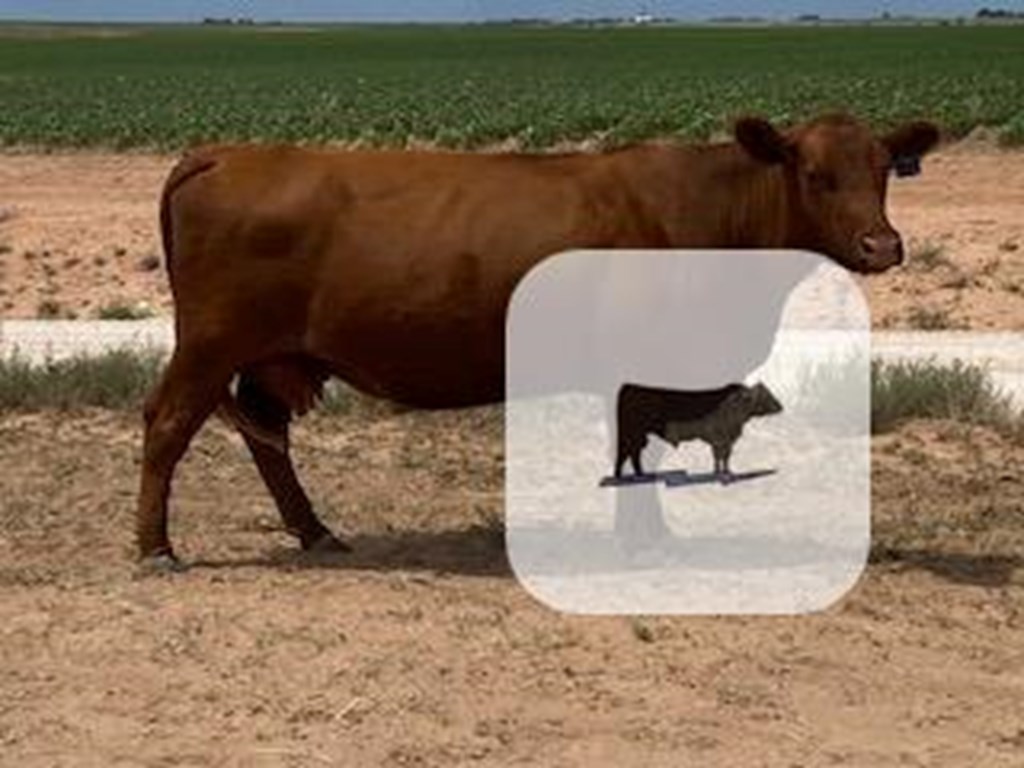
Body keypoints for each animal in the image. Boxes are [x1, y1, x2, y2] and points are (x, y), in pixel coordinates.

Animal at [140, 115, 937, 573]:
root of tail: (223, 154)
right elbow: (635, 452)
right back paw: (156, 548)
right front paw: (641, 541)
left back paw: (314, 532)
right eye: (815, 174)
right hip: (211, 342)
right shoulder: (639, 372)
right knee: (169, 424)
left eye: (884, 171)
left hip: (269, 359)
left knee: (266, 436)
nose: (883, 244)